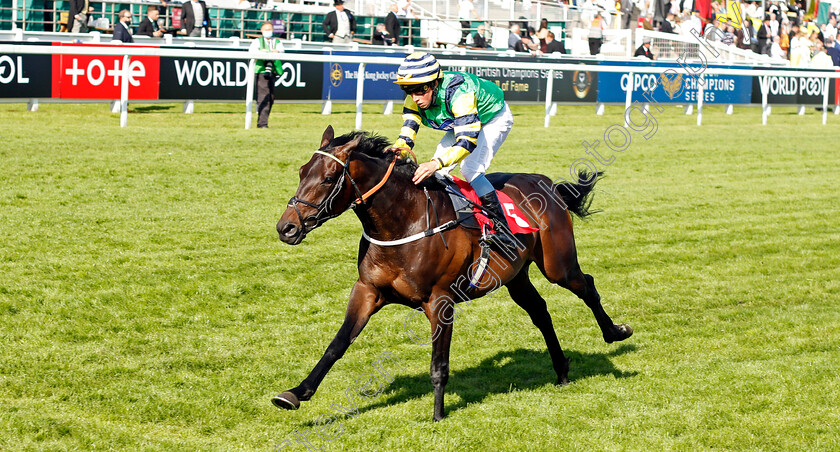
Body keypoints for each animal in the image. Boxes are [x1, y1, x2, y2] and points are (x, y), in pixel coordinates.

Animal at [272, 124, 632, 420]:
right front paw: (295, 393)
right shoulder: (367, 290)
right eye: (302, 172)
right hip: (515, 276)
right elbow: (337, 344)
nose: (286, 228)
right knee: (541, 312)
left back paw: (615, 332)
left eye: (329, 177)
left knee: (587, 286)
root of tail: (547, 183)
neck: (404, 221)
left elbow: (438, 364)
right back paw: (562, 370)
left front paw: (437, 415)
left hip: (558, 265)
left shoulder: (440, 301)